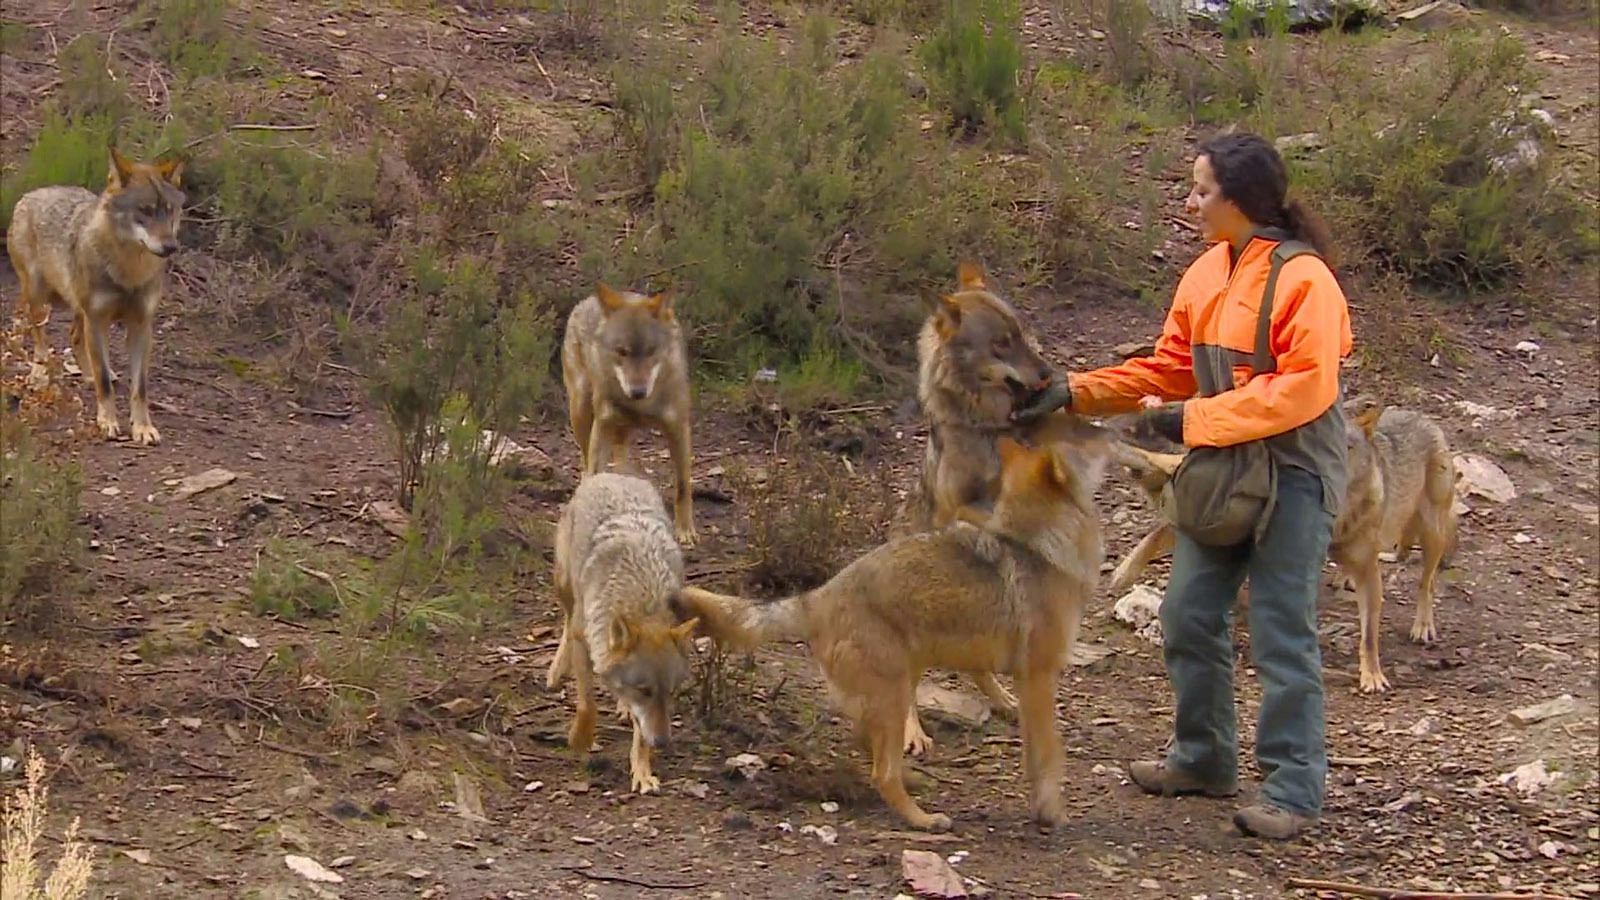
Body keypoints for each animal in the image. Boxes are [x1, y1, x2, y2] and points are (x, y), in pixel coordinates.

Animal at [8, 142, 186, 445]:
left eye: (169, 210)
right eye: (145, 210)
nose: (171, 246)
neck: (128, 271)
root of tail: (30, 194)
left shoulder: (141, 326)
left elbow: (140, 387)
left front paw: (142, 428)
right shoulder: (97, 319)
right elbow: (104, 382)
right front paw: (107, 422)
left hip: (79, 311)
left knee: (75, 336)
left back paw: (86, 373)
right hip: (41, 299)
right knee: (40, 337)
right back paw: (40, 373)